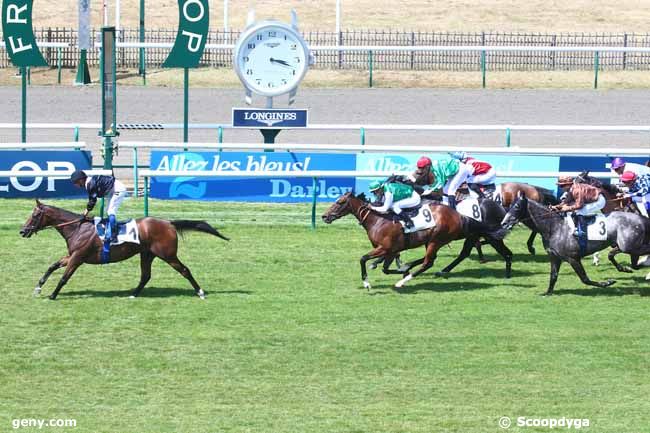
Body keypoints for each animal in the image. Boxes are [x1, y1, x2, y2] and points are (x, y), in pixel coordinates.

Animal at [19, 200, 228, 298]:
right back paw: (133, 294)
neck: (77, 228)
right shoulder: (72, 255)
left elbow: (64, 277)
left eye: (35, 215)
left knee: (185, 270)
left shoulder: (77, 258)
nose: (22, 231)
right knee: (145, 276)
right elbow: (52, 266)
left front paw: (53, 295)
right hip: (147, 254)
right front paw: (38, 287)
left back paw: (200, 292)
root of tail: (168, 223)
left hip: (167, 255)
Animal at [318, 192, 506, 286]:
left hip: (436, 240)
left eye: (340, 202)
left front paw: (366, 283)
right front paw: (403, 268)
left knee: (428, 262)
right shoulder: (391, 250)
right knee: (430, 259)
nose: (324, 216)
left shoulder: (385, 248)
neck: (378, 220)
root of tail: (460, 216)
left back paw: (404, 282)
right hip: (431, 241)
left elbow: (363, 259)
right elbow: (385, 268)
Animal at [504, 192, 650, 294]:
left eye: (517, 206)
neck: (554, 227)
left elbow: (585, 279)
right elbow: (553, 276)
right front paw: (547, 292)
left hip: (629, 246)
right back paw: (627, 268)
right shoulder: (555, 257)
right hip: (629, 246)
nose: (504, 222)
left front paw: (607, 282)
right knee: (625, 259)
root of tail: (641, 218)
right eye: (509, 205)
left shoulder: (573, 258)